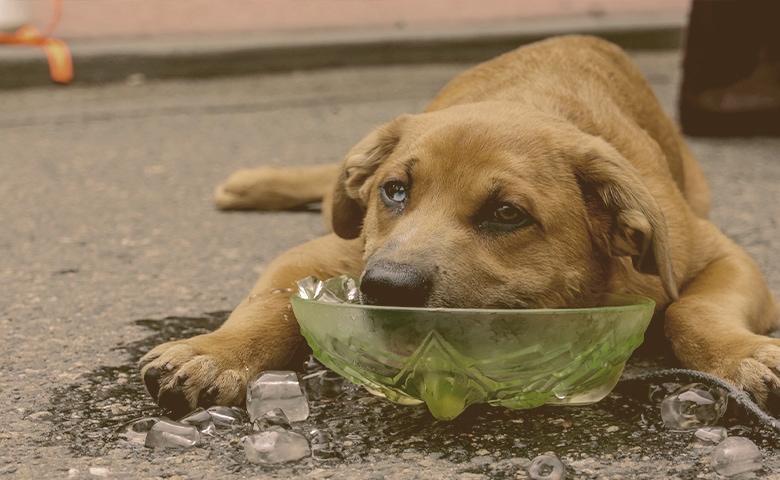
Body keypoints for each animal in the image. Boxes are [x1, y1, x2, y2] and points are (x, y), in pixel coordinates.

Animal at [139, 35, 780, 414]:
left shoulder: (720, 255)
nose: (385, 288)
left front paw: (744, 355)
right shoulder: (330, 251)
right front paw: (214, 352)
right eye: (394, 191)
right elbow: (268, 304)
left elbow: (692, 311)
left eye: (506, 214)